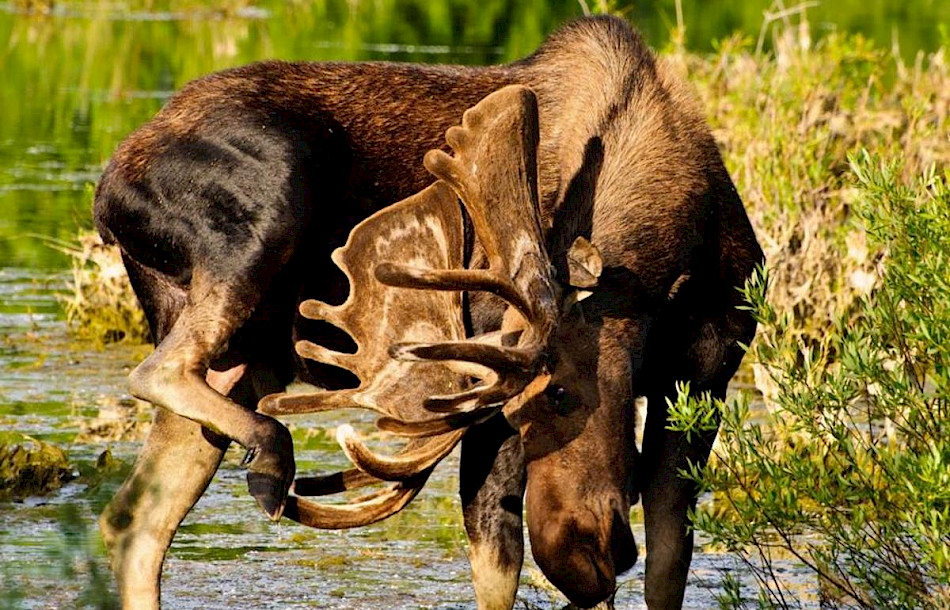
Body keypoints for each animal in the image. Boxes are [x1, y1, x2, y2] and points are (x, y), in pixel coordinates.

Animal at [95, 14, 768, 608]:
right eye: (534, 403)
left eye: (561, 395)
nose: (580, 557)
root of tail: (106, 194)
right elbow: (497, 565)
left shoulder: (706, 376)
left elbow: (667, 567)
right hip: (267, 210)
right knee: (158, 375)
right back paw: (271, 453)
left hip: (240, 353)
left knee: (135, 521)